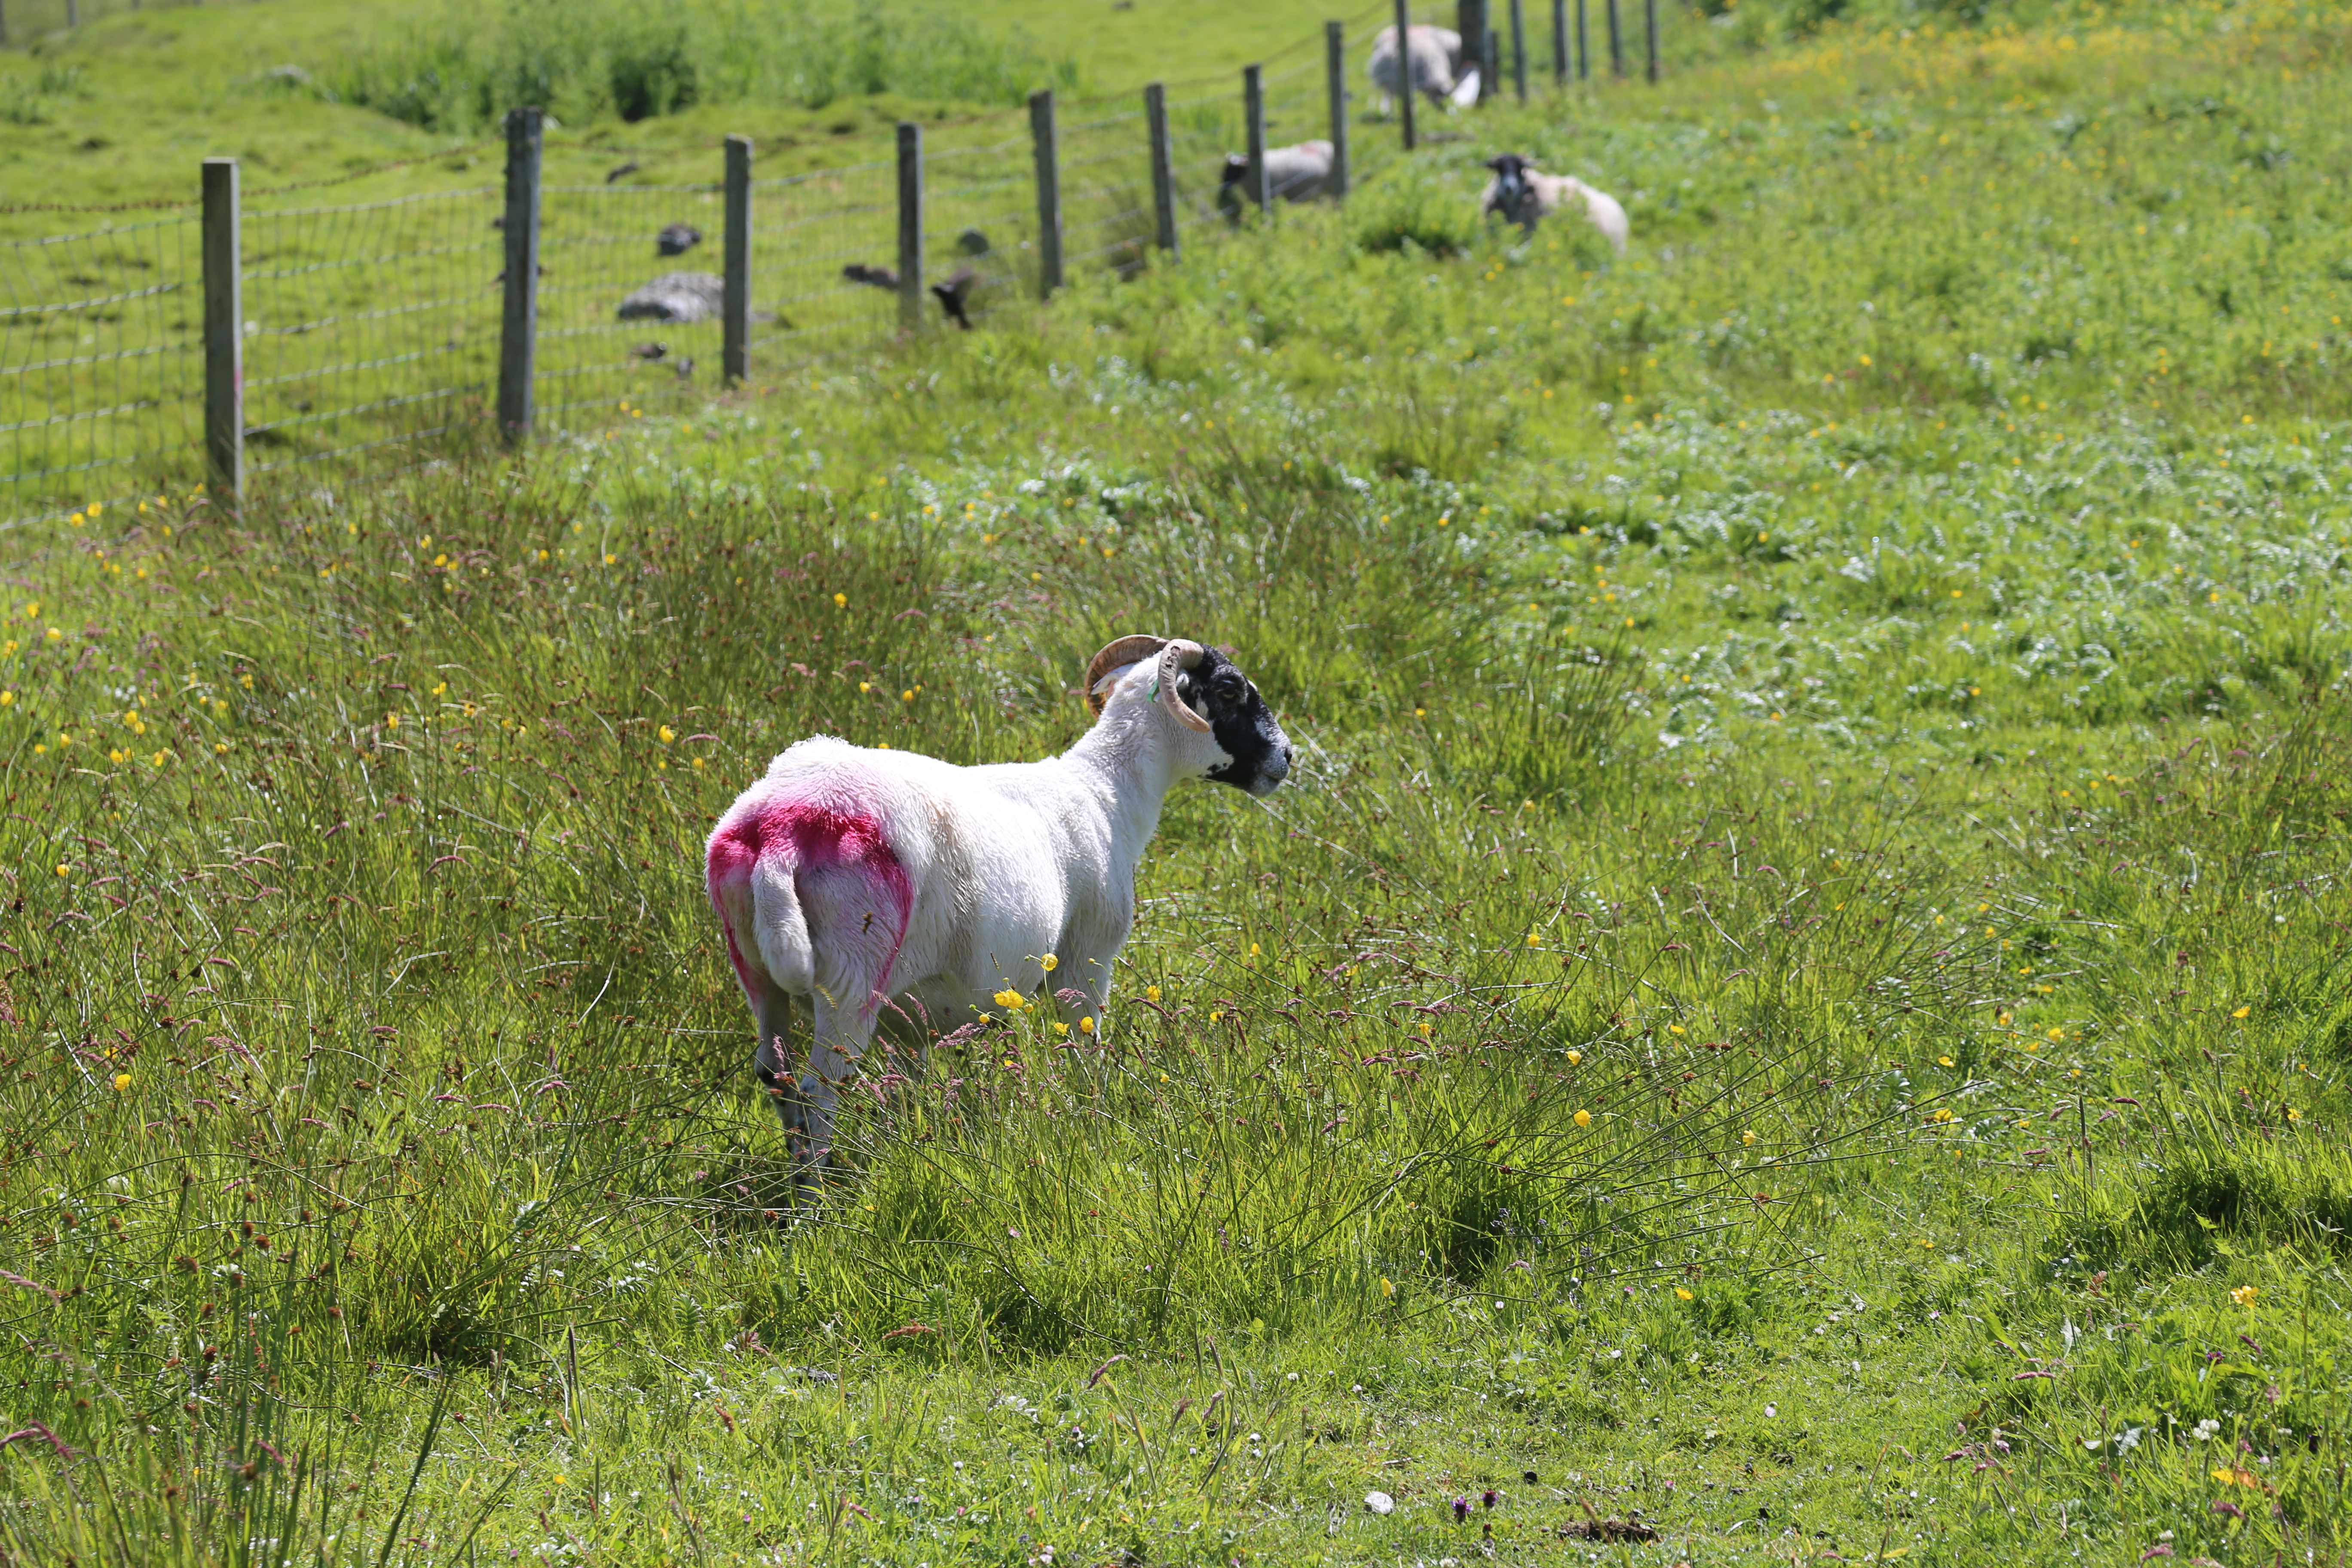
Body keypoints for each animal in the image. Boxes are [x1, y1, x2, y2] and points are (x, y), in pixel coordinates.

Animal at [705, 630, 1298, 1185]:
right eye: (1229, 690)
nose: (1288, 757)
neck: (1108, 790)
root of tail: (781, 831)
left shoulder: (910, 1014)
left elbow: (907, 1081)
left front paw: (907, 1145)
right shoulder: (1086, 959)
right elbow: (1086, 1049)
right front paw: (1095, 1122)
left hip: (756, 973)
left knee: (777, 1079)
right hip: (852, 975)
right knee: (817, 1093)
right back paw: (817, 1203)